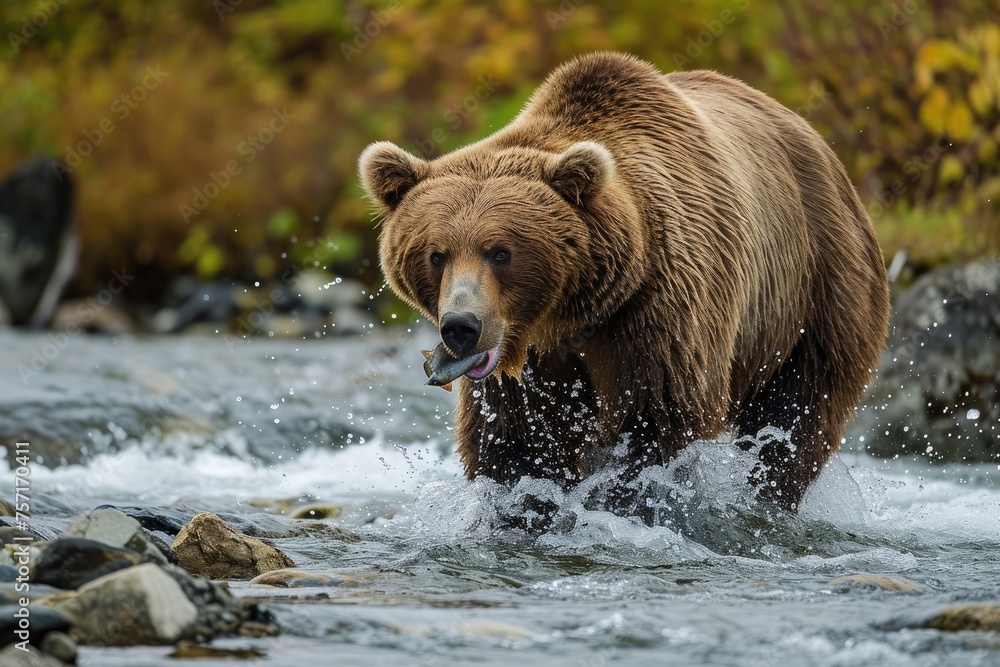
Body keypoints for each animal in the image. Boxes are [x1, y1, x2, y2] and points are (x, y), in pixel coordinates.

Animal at [358, 52, 890, 512]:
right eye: (436, 255)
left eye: (501, 252)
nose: (461, 327)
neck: (570, 316)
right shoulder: (528, 369)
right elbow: (516, 443)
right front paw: (526, 507)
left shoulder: (658, 310)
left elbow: (657, 424)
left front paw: (628, 501)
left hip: (817, 290)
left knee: (796, 418)